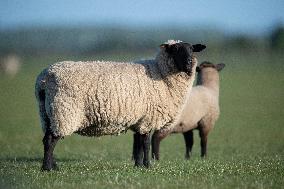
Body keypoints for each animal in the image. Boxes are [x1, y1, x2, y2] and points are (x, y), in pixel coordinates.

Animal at [35, 40, 206, 171]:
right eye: (176, 50)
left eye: (192, 50)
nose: (189, 63)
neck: (161, 73)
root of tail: (44, 78)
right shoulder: (148, 119)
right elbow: (146, 144)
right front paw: (147, 166)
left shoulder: (140, 119)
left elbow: (138, 144)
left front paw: (138, 166)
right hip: (63, 112)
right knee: (50, 140)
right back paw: (47, 168)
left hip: (47, 114)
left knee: (46, 139)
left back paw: (53, 166)